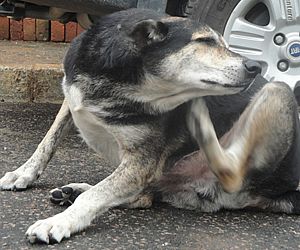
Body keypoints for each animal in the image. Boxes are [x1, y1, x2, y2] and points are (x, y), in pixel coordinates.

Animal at [0, 8, 300, 244]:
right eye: (204, 41)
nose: (254, 66)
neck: (122, 81)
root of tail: (289, 192)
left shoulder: (143, 161)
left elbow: (97, 195)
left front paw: (59, 222)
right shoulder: (71, 101)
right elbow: (48, 141)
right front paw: (23, 173)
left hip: (278, 91)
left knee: (228, 171)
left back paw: (201, 121)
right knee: (140, 196)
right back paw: (73, 191)